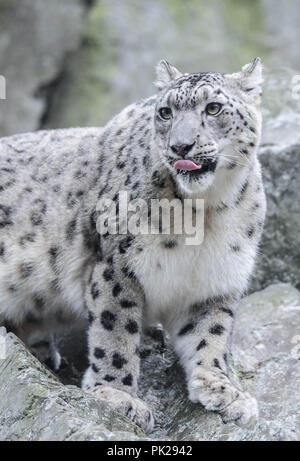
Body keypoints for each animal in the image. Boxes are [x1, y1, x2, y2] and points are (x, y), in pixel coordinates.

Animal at [0, 57, 268, 432]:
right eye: (166, 112)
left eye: (213, 107)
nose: (181, 146)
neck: (207, 211)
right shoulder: (116, 266)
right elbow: (115, 330)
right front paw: (117, 395)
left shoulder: (215, 279)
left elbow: (210, 333)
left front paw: (222, 389)